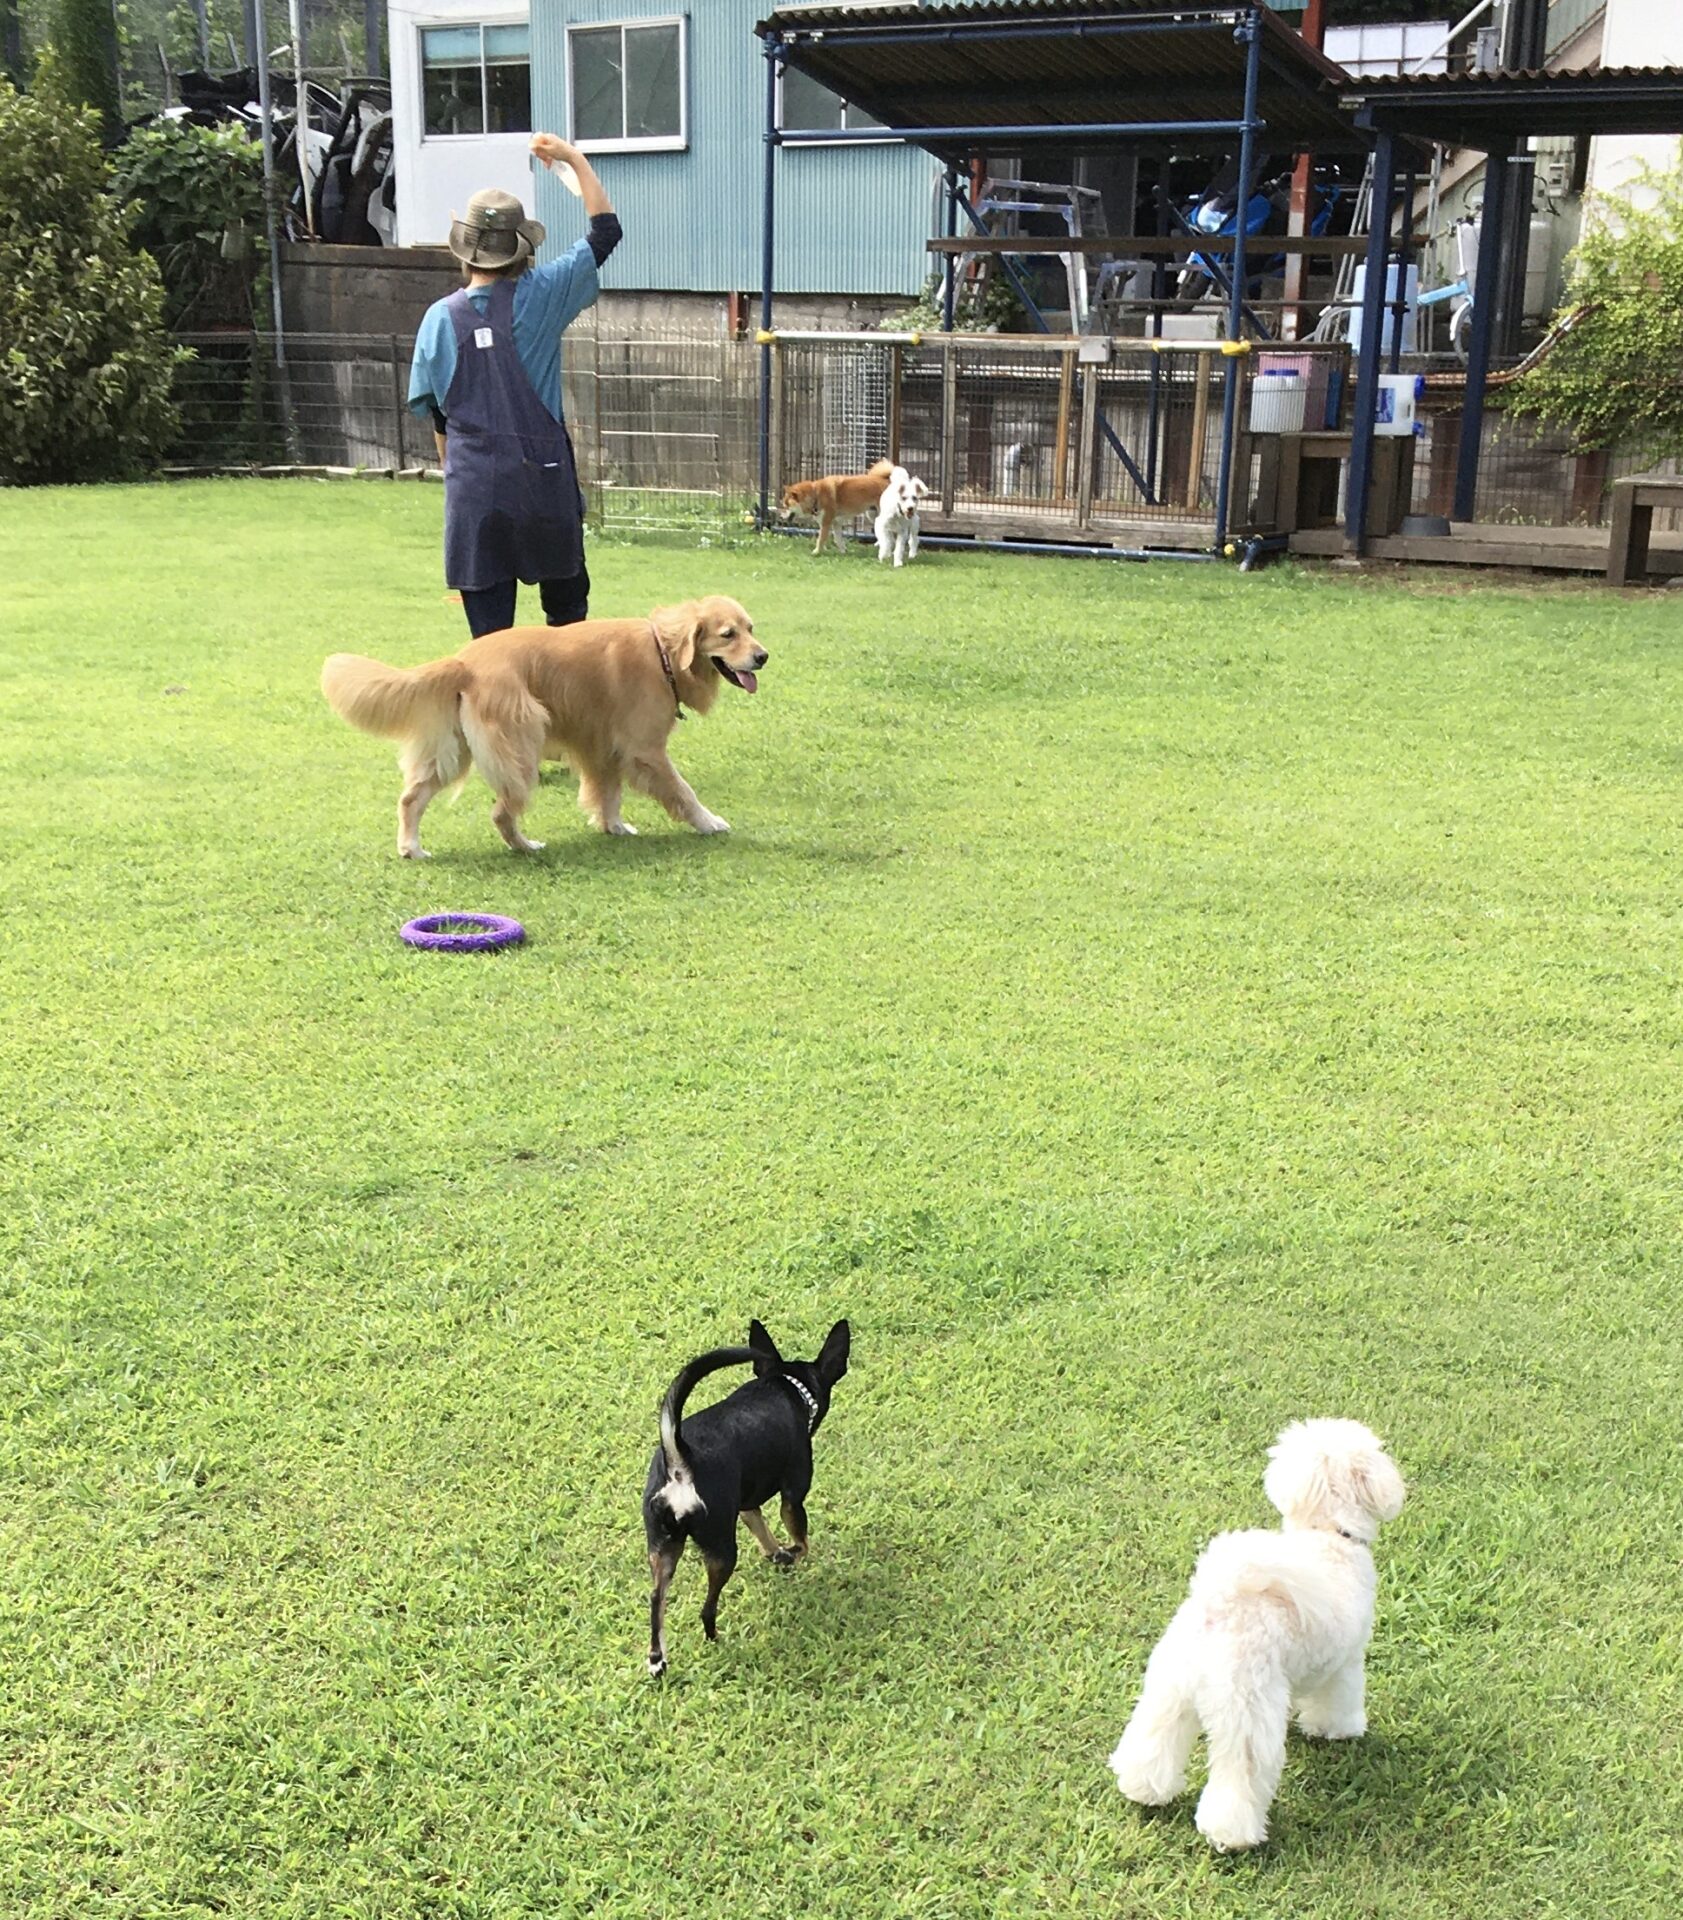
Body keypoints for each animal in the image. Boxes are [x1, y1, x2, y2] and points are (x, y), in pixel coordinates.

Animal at [320, 597, 766, 857]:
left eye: (751, 628)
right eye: (727, 634)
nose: (763, 656)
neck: (662, 653)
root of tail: (464, 661)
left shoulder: (604, 747)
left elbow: (609, 794)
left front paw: (614, 827)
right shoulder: (645, 750)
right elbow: (682, 791)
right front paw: (709, 823)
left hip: (453, 751)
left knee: (411, 799)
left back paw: (411, 848)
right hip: (520, 744)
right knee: (501, 812)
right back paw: (525, 846)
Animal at [643, 1318, 850, 1677]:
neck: (785, 1386)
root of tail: (680, 1462)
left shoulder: (747, 1506)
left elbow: (763, 1532)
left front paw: (776, 1553)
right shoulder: (793, 1498)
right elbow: (802, 1542)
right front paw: (790, 1554)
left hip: (664, 1546)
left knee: (657, 1599)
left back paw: (657, 1658)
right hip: (721, 1551)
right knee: (707, 1609)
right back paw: (715, 1638)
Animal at [1109, 1418, 1406, 1852]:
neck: (1328, 1534)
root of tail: (1224, 1599)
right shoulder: (1346, 1662)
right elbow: (1340, 1700)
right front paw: (1339, 1730)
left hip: (1170, 1688)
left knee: (1154, 1738)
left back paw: (1144, 1789)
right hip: (1247, 1706)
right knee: (1240, 1773)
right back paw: (1232, 1835)